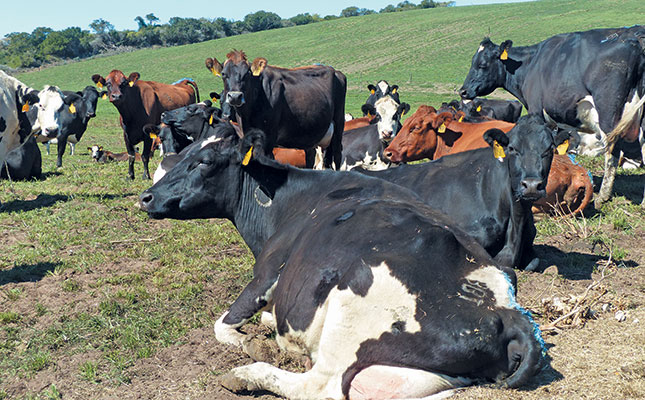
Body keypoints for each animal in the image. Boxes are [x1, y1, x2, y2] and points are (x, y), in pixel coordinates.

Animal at [137, 128, 544, 400]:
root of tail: (508, 314)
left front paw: (250, 343)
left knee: (320, 385)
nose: (147, 196)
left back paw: (248, 373)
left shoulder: (266, 273)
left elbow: (222, 326)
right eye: (185, 151)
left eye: (204, 162)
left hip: (352, 308)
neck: (283, 201)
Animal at [206, 50, 348, 169]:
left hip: (338, 124)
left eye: (247, 74)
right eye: (223, 74)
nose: (235, 96)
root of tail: (335, 71)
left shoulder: (268, 140)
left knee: (337, 155)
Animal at [458, 27, 644, 206]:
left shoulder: (535, 110)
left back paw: (602, 198)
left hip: (608, 112)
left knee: (612, 151)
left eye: (482, 65)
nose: (463, 91)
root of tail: (635, 38)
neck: (530, 64)